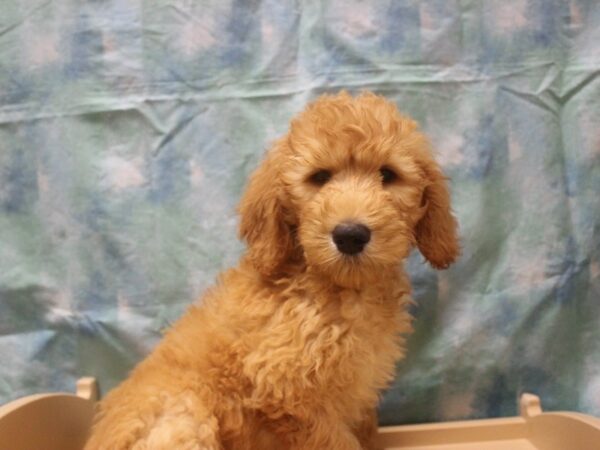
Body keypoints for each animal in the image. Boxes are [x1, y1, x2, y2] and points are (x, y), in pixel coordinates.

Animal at [84, 91, 460, 450]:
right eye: (319, 177)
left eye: (388, 175)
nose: (350, 235)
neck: (338, 290)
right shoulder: (291, 396)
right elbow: (337, 442)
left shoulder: (359, 396)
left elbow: (367, 434)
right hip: (183, 419)